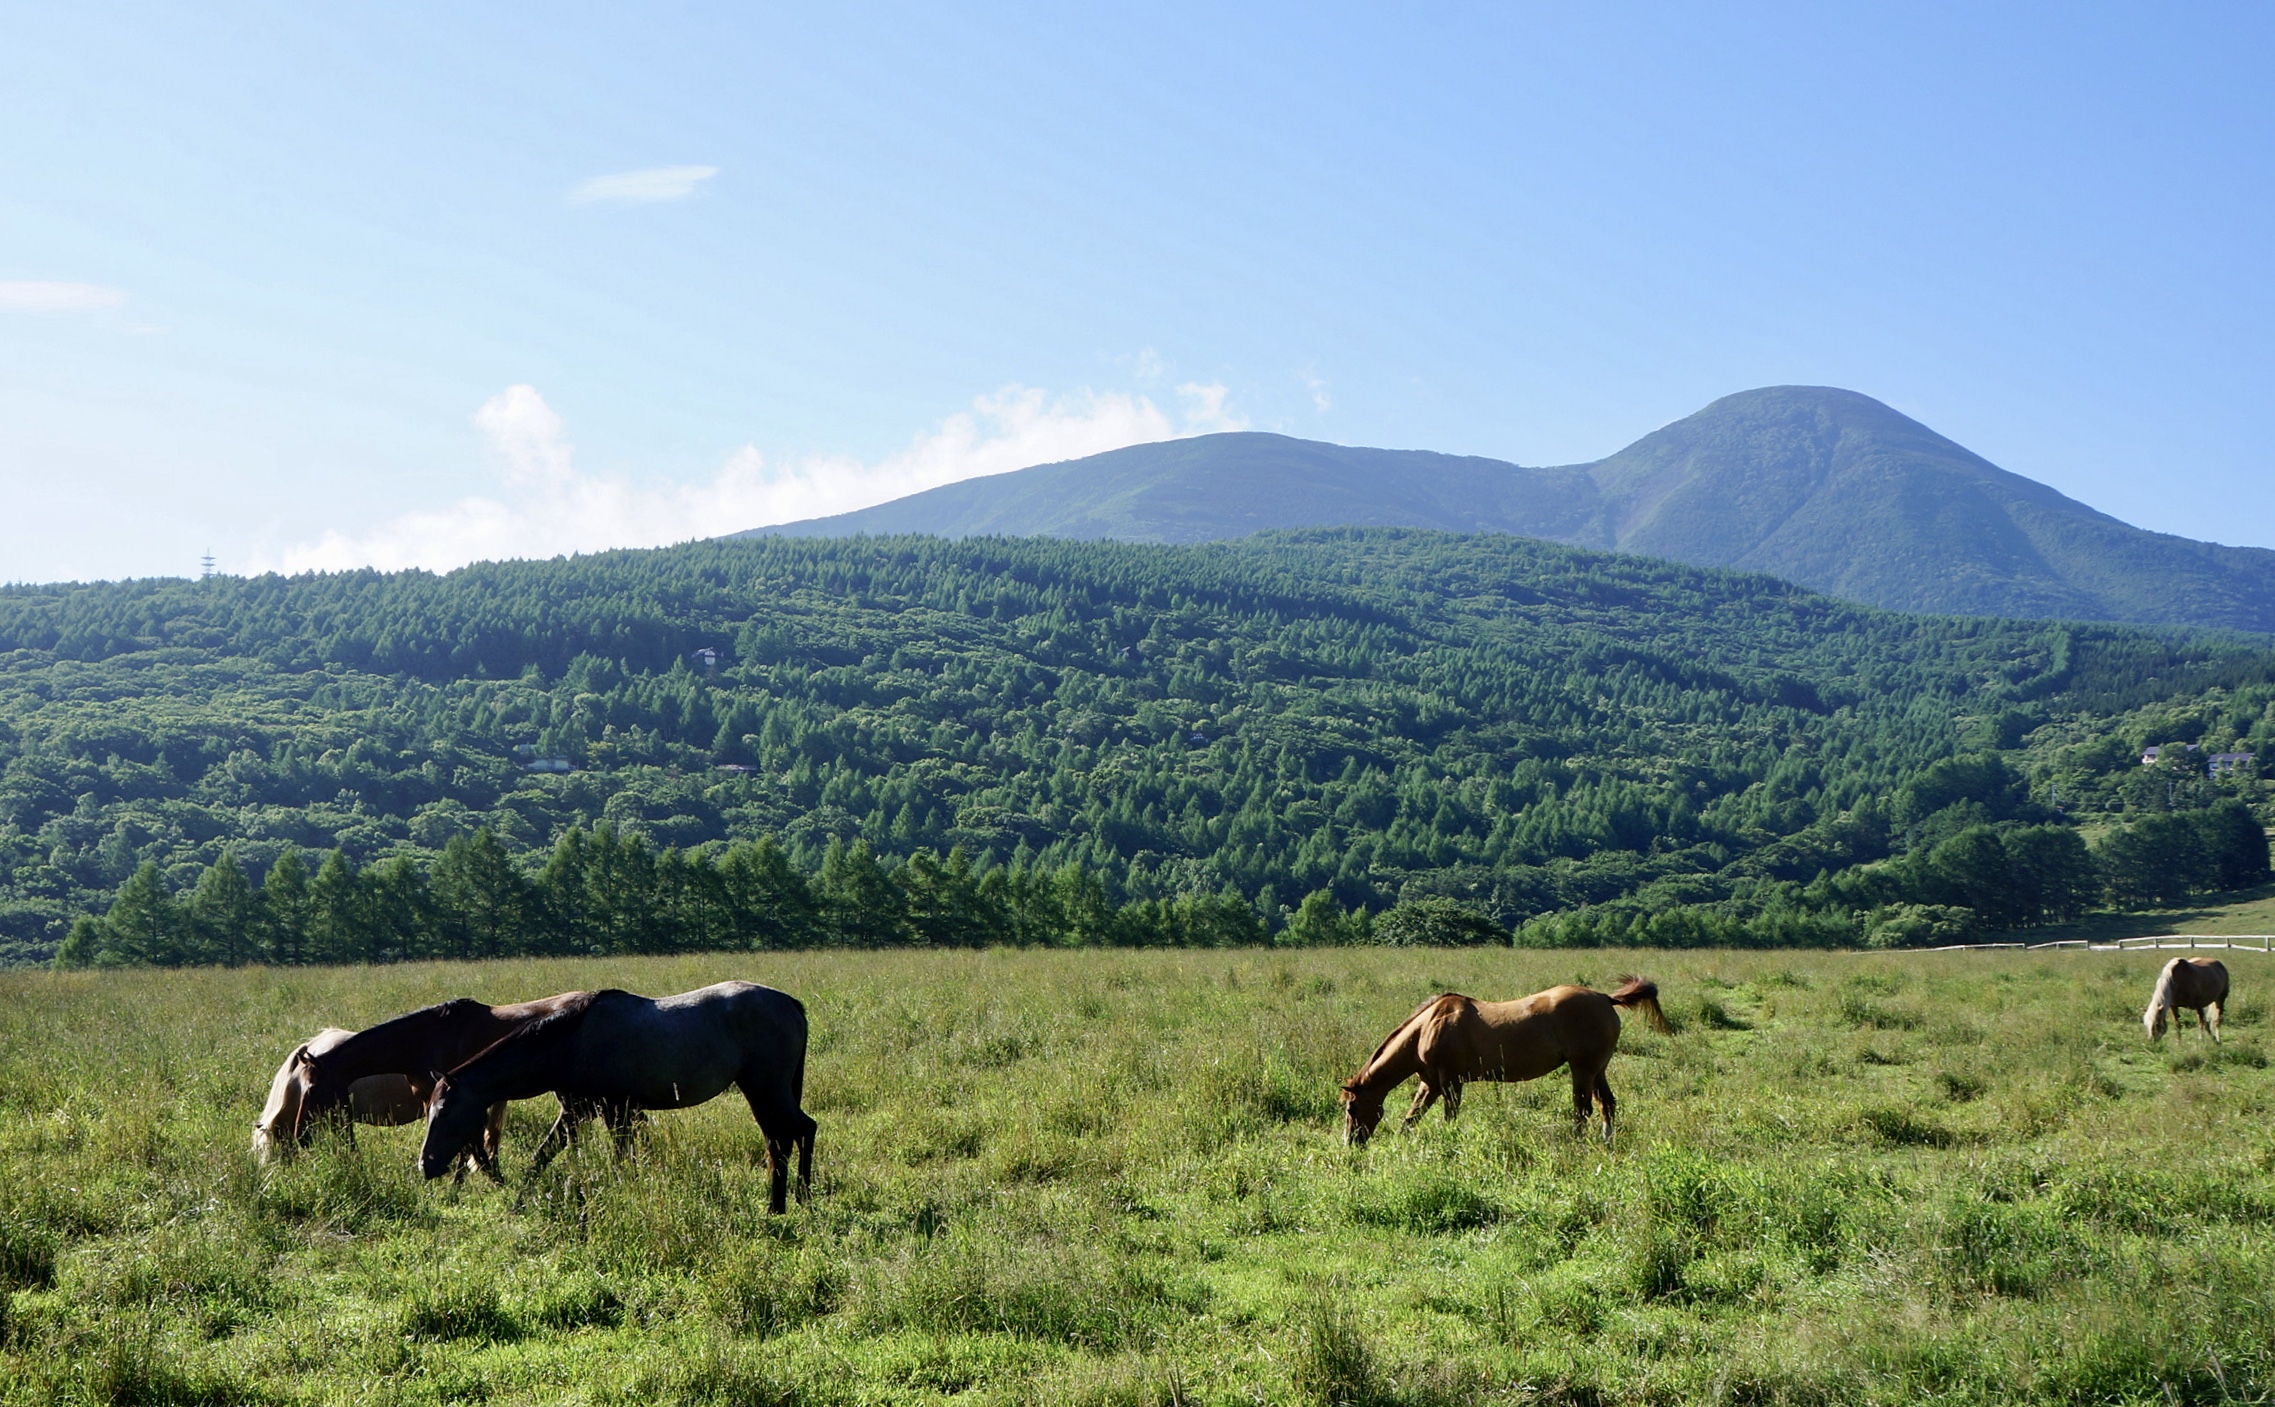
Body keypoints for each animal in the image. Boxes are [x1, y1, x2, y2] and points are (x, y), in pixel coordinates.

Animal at [418, 974, 819, 1220]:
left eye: (445, 1112)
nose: (426, 1164)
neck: (570, 1042)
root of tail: (790, 1003)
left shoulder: (613, 1110)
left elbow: (620, 1162)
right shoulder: (578, 1112)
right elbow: (541, 1157)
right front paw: (518, 1205)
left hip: (768, 1089)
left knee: (801, 1131)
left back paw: (801, 1197)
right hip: (761, 1092)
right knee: (778, 1140)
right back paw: (777, 1205)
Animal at [1328, 978, 1674, 1142]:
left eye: (1351, 1108)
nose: (1351, 1143)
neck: (1427, 1027)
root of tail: (1605, 998)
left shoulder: (1449, 1083)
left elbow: (1448, 1117)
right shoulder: (1430, 1084)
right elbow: (1410, 1118)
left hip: (1583, 1070)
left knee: (1583, 1109)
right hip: (1597, 1069)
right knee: (1607, 1106)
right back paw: (1606, 1142)